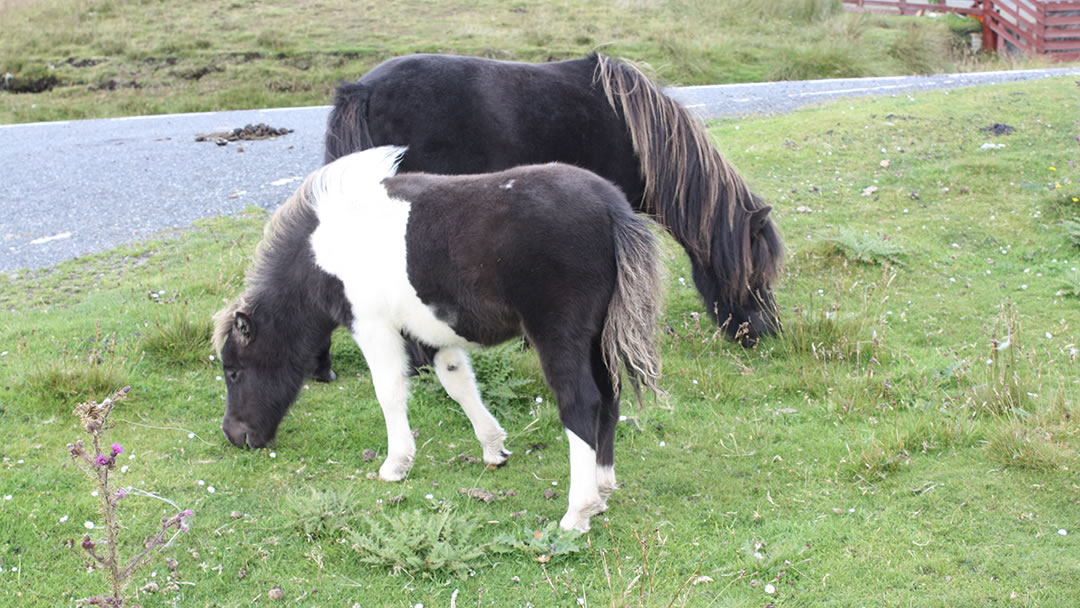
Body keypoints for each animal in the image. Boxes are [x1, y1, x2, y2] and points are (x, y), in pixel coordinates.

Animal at [213, 146, 663, 532]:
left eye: (233, 371)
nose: (235, 436)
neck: (328, 248)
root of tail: (610, 207)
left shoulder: (373, 327)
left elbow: (389, 392)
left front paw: (395, 465)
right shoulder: (428, 332)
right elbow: (458, 383)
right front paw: (494, 449)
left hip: (560, 337)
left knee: (581, 405)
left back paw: (578, 511)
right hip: (598, 338)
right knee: (609, 398)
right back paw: (602, 491)